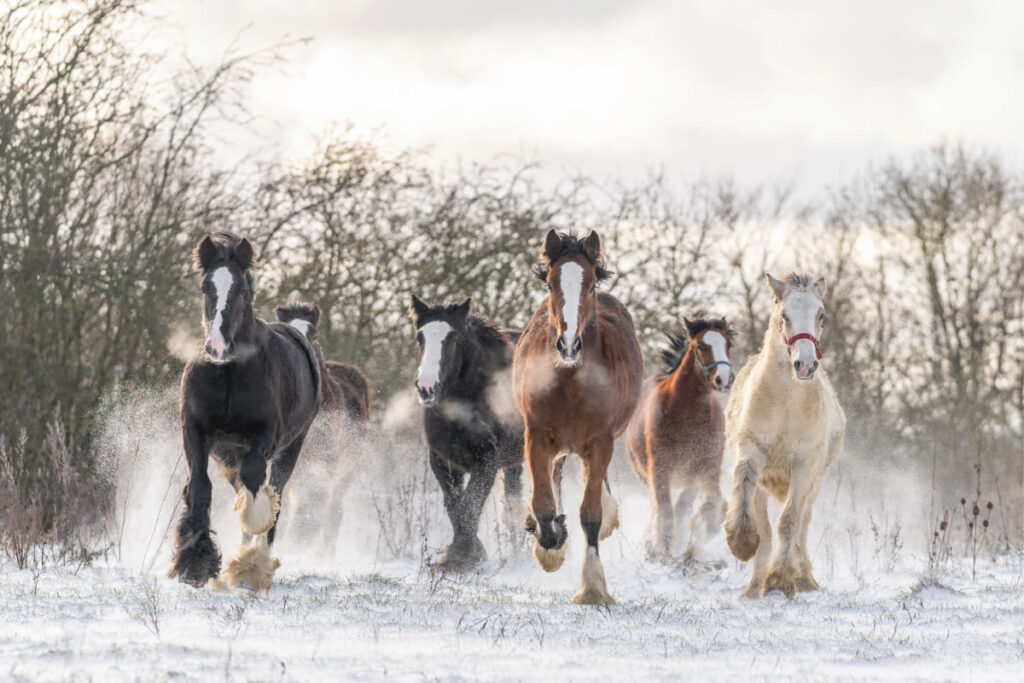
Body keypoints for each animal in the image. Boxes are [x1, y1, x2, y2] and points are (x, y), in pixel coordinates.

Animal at [169, 231, 319, 593]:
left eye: (240, 290)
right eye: (206, 287)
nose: (218, 347)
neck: (229, 372)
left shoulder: (266, 435)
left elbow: (255, 484)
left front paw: (248, 564)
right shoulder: (195, 431)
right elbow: (200, 487)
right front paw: (193, 564)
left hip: (290, 447)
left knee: (272, 490)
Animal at [407, 294, 524, 573]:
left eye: (453, 338)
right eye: (420, 337)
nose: (426, 387)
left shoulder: (487, 462)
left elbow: (470, 504)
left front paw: (461, 558)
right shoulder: (442, 461)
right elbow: (454, 505)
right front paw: (468, 553)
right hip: (513, 462)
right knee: (513, 502)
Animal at [516, 229, 643, 602]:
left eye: (590, 286)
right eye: (550, 284)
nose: (569, 345)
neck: (571, 381)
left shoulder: (600, 441)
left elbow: (591, 514)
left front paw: (593, 589)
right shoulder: (537, 436)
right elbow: (543, 503)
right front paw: (551, 544)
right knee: (554, 476)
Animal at [622, 317, 737, 565]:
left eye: (728, 344)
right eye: (700, 346)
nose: (725, 379)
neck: (688, 413)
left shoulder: (707, 466)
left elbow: (711, 504)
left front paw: (700, 534)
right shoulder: (660, 468)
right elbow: (665, 512)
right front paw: (662, 551)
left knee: (681, 506)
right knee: (660, 508)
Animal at [720, 272, 847, 598]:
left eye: (820, 314)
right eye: (784, 315)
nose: (805, 365)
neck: (787, 402)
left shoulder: (804, 465)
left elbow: (790, 520)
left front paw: (780, 580)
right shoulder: (752, 451)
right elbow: (746, 491)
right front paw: (742, 544)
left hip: (816, 480)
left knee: (803, 521)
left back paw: (802, 578)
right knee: (765, 524)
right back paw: (756, 584)